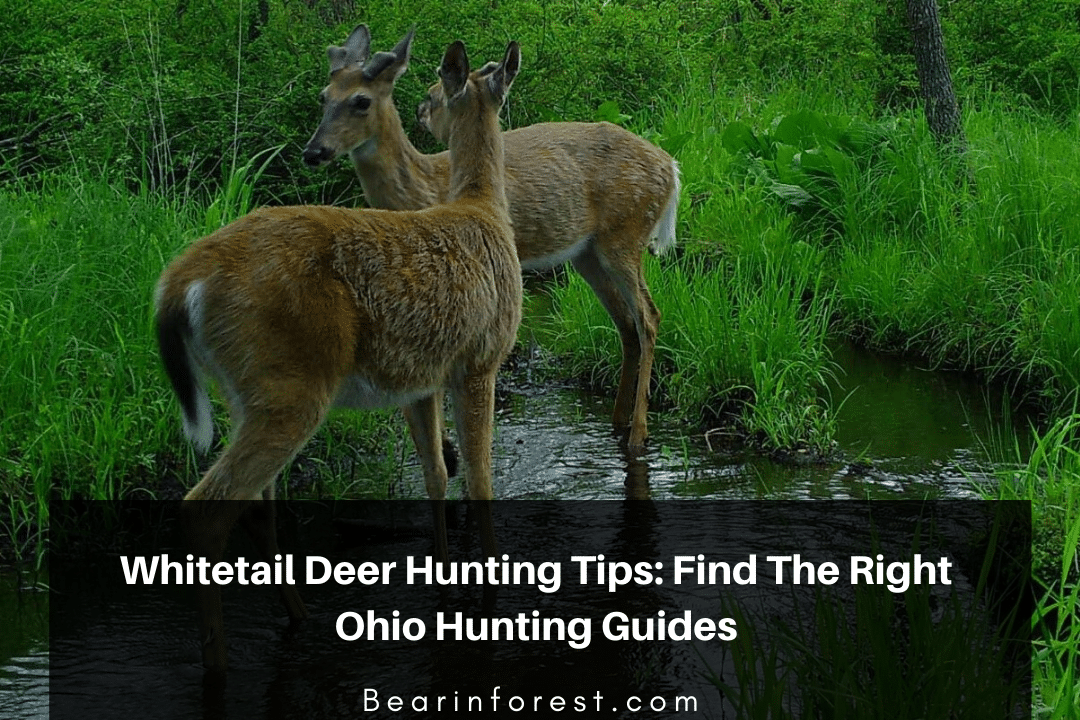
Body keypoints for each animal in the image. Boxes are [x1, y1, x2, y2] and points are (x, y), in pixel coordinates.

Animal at [154, 38, 522, 673]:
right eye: (429, 94)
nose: (423, 113)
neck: (482, 208)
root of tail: (180, 280)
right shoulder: (480, 358)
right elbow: (480, 479)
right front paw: (492, 595)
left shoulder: (422, 378)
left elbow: (435, 472)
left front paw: (446, 579)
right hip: (293, 381)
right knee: (207, 507)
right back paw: (218, 660)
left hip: (246, 388)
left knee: (257, 504)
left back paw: (299, 618)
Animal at [303, 26, 680, 453]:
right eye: (323, 96)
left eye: (361, 101)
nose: (314, 151)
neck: (426, 191)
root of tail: (671, 167)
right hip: (587, 253)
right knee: (627, 324)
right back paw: (617, 422)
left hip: (625, 236)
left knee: (648, 316)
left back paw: (637, 434)